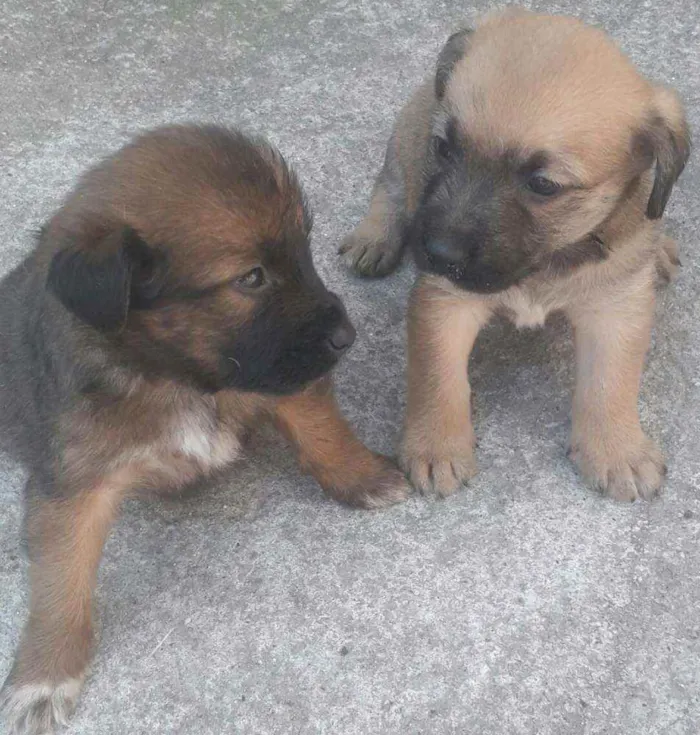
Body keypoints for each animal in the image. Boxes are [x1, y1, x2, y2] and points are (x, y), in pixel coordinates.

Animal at [0, 123, 408, 732]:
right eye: (252, 278)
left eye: (303, 253)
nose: (346, 337)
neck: (179, 378)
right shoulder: (73, 483)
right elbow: (60, 580)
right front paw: (44, 675)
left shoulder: (278, 371)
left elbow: (321, 428)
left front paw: (363, 475)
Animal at [342, 11, 692, 504]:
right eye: (445, 149)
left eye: (543, 185)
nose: (436, 253)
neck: (542, 265)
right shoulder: (445, 300)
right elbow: (437, 377)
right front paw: (436, 446)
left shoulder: (616, 307)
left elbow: (610, 382)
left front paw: (616, 450)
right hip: (407, 137)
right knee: (390, 185)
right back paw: (373, 237)